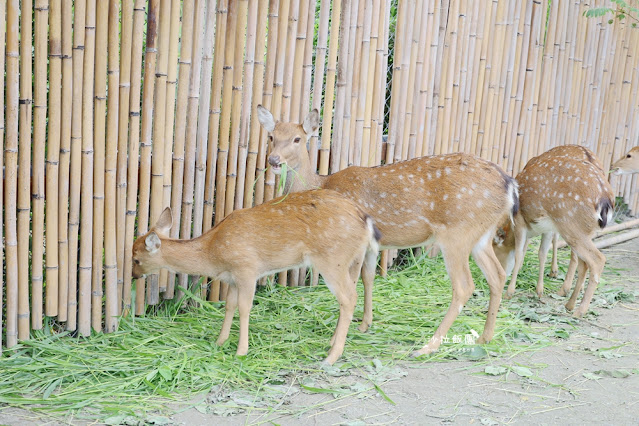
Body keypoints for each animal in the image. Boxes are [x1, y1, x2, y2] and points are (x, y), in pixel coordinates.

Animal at [130, 190, 380, 366]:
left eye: (136, 259)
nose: (133, 276)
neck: (213, 252)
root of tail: (366, 221)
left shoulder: (246, 269)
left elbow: (244, 307)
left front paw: (241, 351)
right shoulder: (232, 278)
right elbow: (229, 305)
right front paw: (219, 341)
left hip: (332, 260)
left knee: (349, 297)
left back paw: (331, 357)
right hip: (352, 259)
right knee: (357, 287)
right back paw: (333, 341)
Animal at [256, 105, 520, 356]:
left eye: (297, 139)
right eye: (271, 136)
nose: (274, 160)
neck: (321, 184)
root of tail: (509, 185)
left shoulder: (351, 244)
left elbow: (353, 283)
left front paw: (336, 338)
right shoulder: (372, 246)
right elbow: (368, 277)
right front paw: (365, 324)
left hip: (458, 233)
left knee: (464, 286)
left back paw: (428, 347)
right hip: (481, 235)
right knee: (497, 275)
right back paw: (485, 337)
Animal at [490, 146, 616, 316]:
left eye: (495, 251)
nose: (498, 274)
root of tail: (605, 199)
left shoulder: (520, 221)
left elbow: (519, 254)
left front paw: (509, 292)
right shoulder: (548, 228)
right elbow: (541, 253)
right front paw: (539, 290)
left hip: (571, 227)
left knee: (597, 260)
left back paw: (579, 310)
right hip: (583, 231)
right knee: (584, 263)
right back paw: (569, 304)